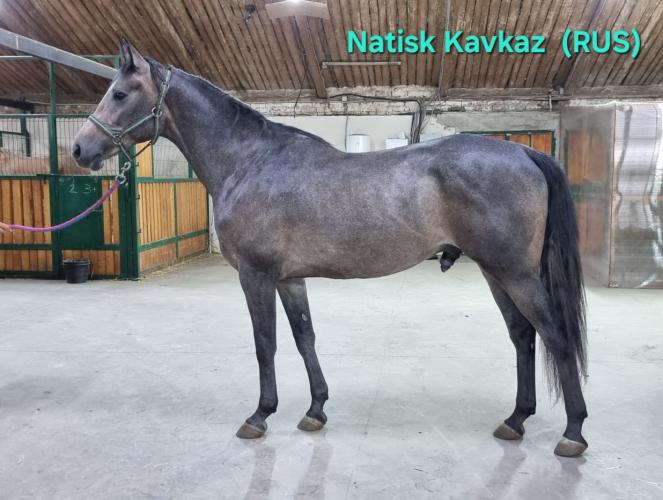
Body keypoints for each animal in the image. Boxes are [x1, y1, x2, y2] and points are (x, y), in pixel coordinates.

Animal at [73, 40, 589, 457]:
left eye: (120, 94)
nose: (80, 149)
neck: (249, 161)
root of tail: (523, 151)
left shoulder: (255, 276)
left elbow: (265, 344)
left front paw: (260, 415)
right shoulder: (289, 278)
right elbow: (305, 338)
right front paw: (315, 410)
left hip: (515, 273)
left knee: (555, 336)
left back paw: (573, 433)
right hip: (495, 271)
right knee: (522, 337)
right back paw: (516, 420)